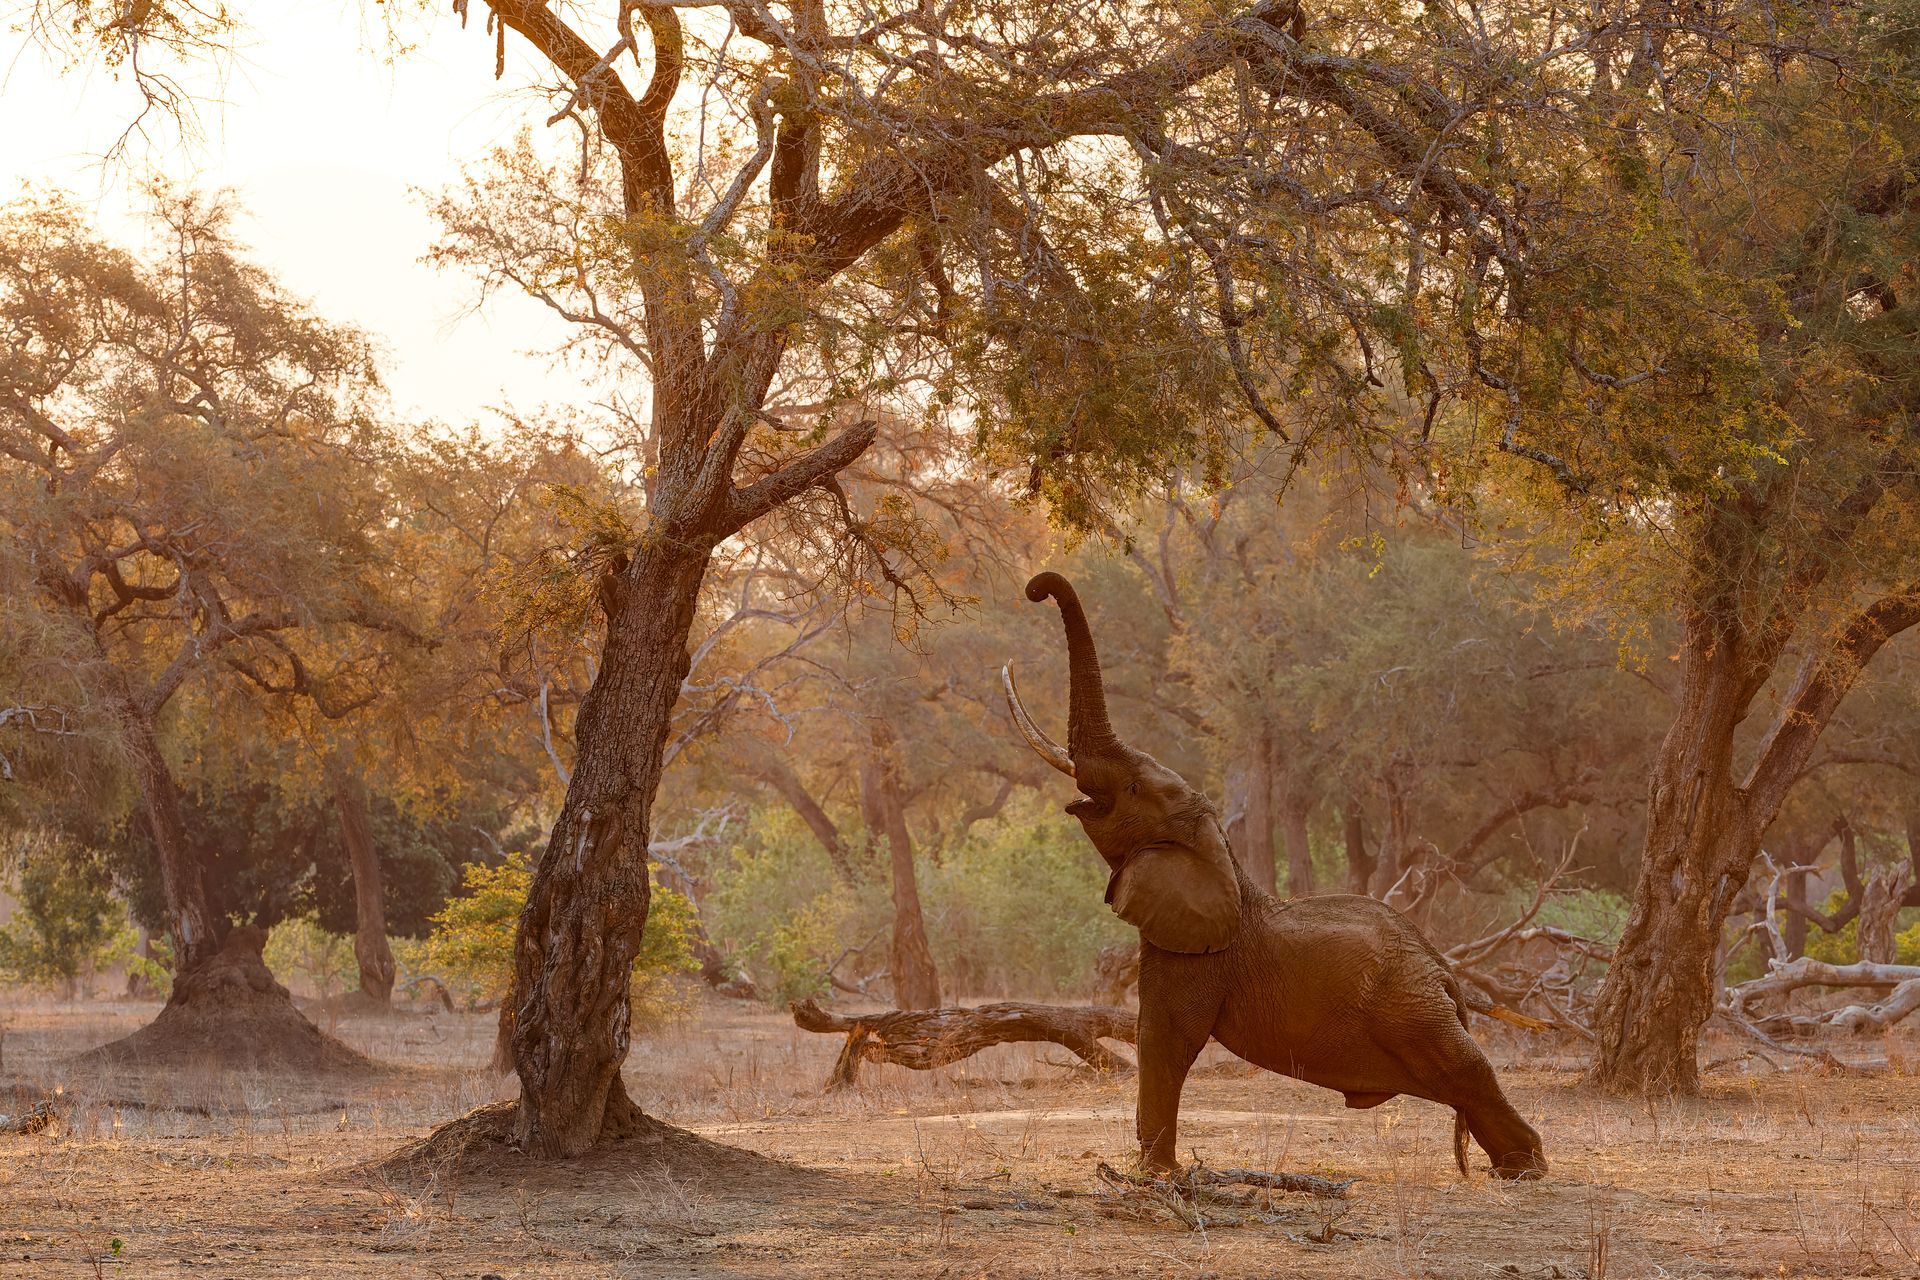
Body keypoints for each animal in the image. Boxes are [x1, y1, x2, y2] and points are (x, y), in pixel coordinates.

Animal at [1004, 571, 1548, 1179]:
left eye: (1135, 790)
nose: (1034, 589)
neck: (1219, 852)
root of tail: (1444, 969)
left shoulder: (1199, 957)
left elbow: (1166, 1038)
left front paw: (1157, 1176)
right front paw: (1155, 1173)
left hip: (1413, 1008)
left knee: (1467, 1071)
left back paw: (1527, 1170)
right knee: (1460, 1081)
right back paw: (1512, 1168)